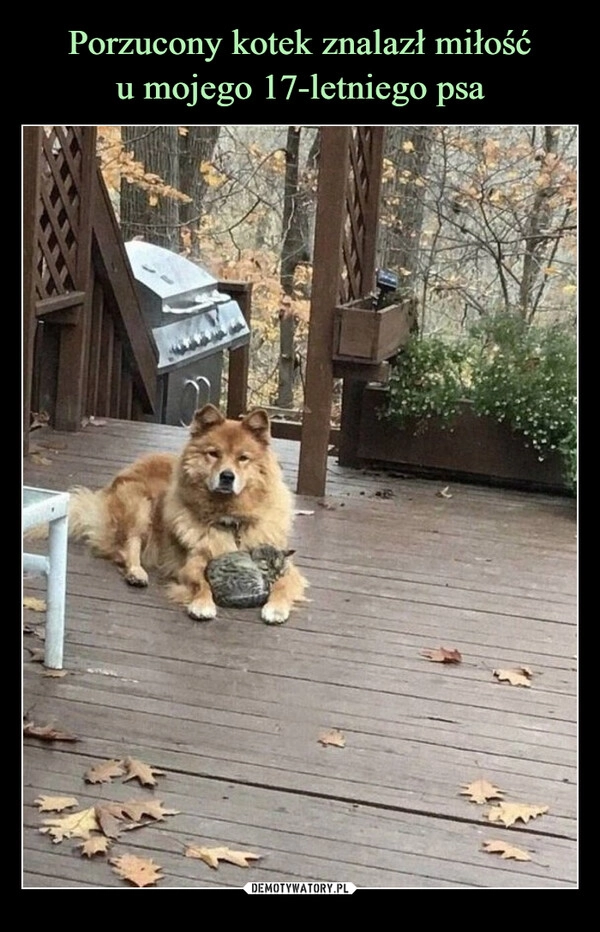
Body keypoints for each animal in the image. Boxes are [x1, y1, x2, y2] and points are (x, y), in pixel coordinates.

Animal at [65, 404, 308, 624]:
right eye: (213, 454)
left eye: (243, 458)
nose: (227, 476)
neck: (230, 519)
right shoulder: (193, 562)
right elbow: (202, 583)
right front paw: (202, 605)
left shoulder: (284, 563)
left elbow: (282, 584)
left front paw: (276, 608)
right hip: (139, 506)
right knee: (127, 545)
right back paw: (137, 573)